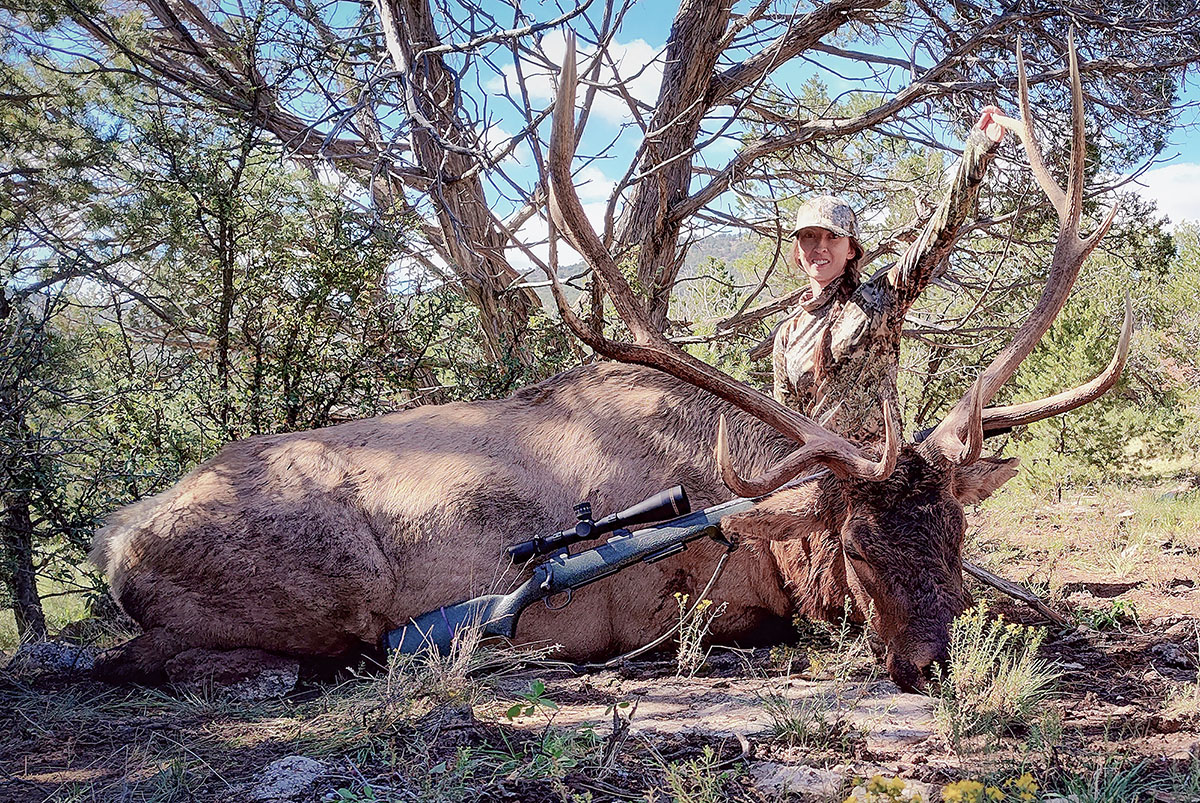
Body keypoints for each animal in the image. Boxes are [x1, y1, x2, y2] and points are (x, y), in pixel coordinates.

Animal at [90, 34, 1129, 693]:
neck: (769, 532)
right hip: (328, 580)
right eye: (861, 545)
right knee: (144, 656)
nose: (933, 663)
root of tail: (116, 536)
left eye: (956, 535)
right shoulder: (691, 607)